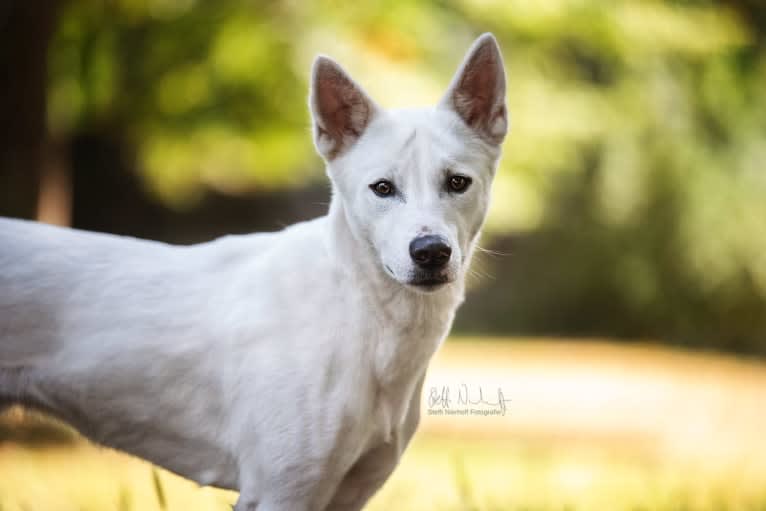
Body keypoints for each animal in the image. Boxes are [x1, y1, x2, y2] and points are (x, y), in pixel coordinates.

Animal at [0, 34, 510, 510]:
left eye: (458, 183)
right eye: (382, 188)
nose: (431, 252)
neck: (358, 313)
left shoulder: (348, 494)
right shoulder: (280, 493)